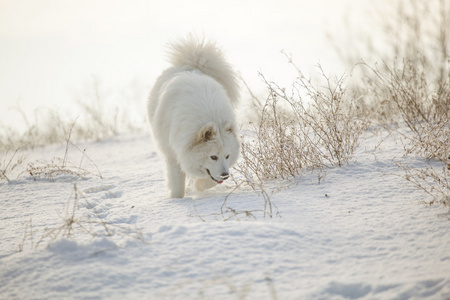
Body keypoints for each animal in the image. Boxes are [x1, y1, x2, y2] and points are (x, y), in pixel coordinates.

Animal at [147, 36, 239, 198]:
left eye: (227, 156)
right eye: (213, 157)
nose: (225, 175)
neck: (210, 115)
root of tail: (189, 64)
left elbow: (209, 180)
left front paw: (199, 186)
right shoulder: (173, 152)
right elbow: (177, 180)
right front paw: (176, 199)